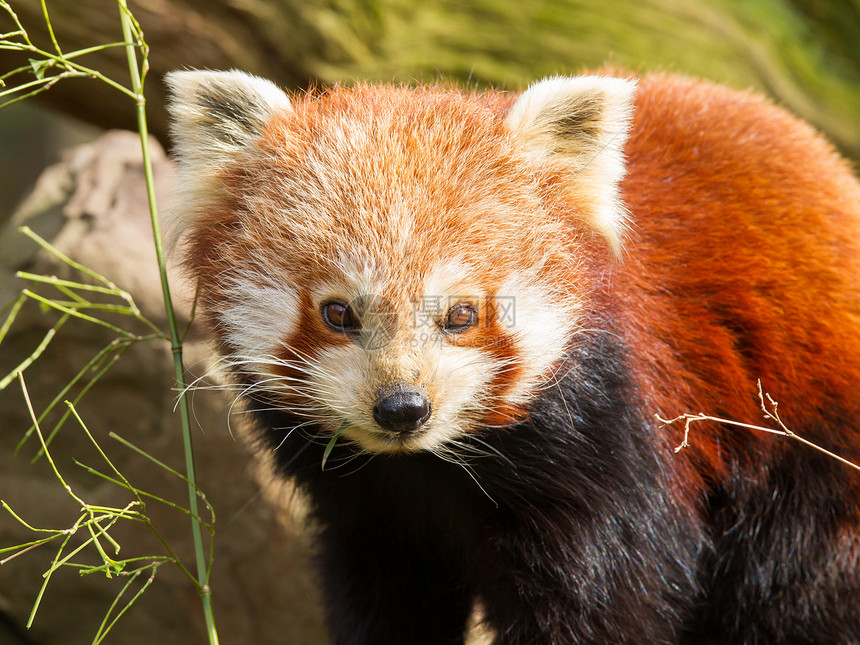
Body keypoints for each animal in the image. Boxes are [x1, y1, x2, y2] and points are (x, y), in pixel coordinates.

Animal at [166, 68, 860, 640]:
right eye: (340, 313)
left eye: (460, 314)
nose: (402, 407)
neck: (430, 467)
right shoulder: (367, 507)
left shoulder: (612, 447)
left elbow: (606, 603)